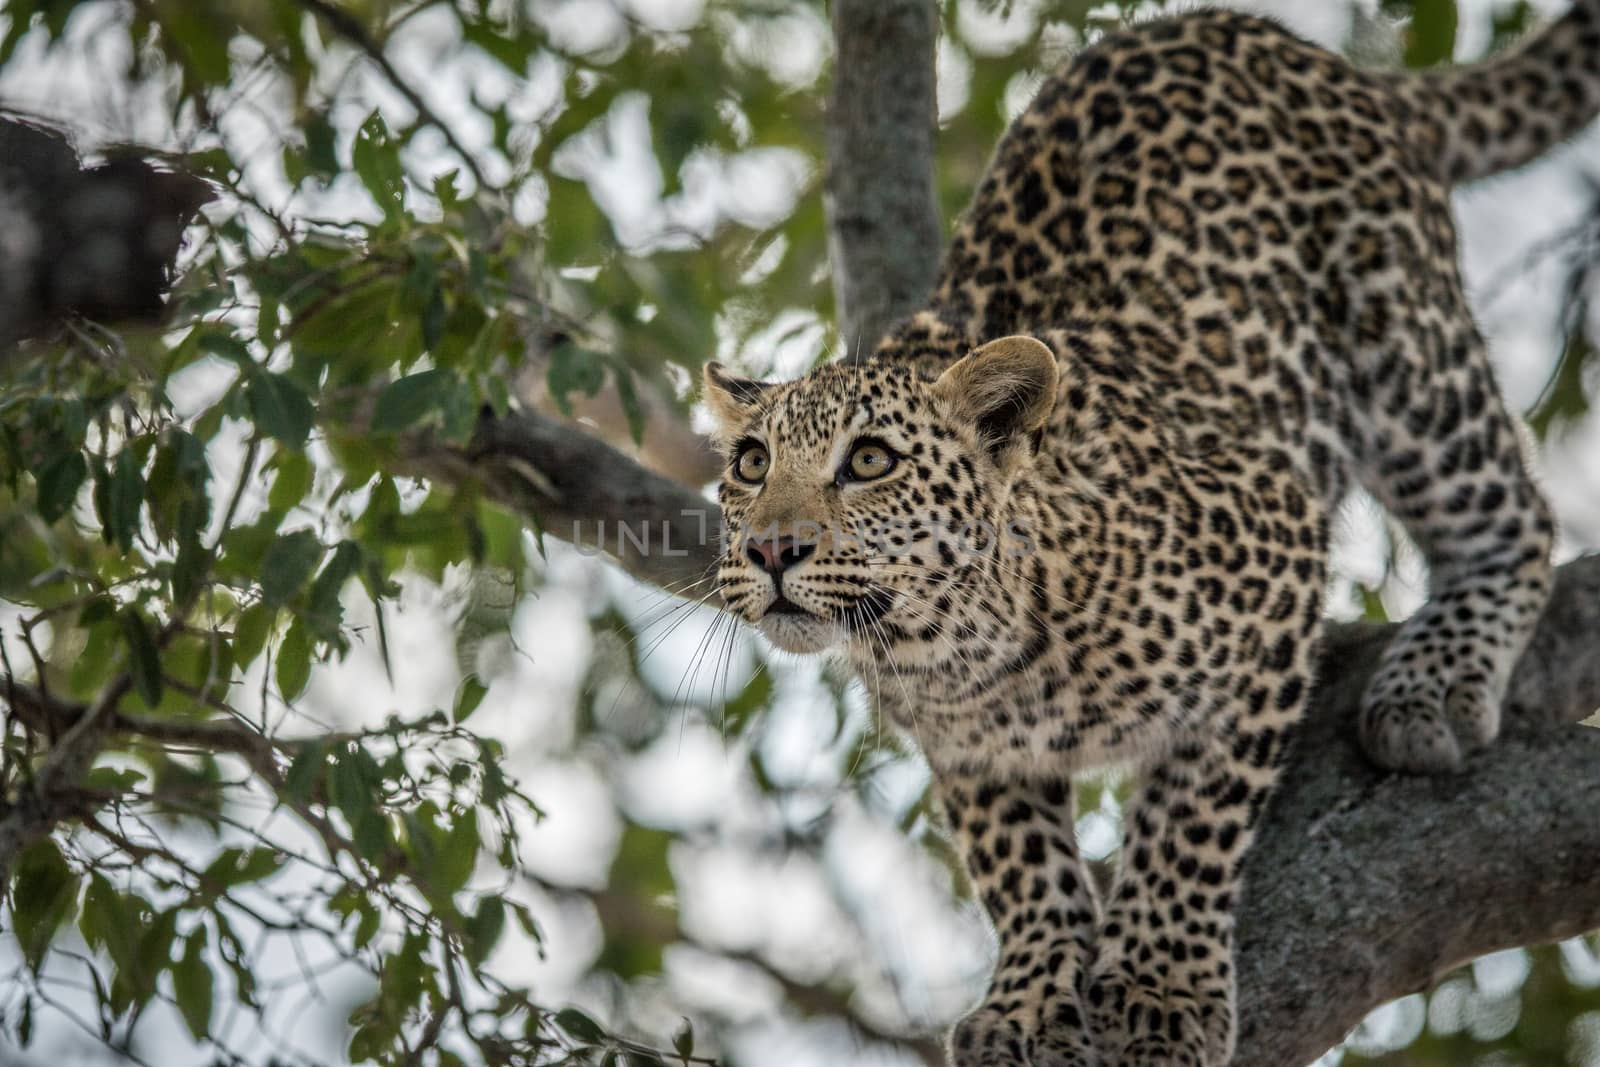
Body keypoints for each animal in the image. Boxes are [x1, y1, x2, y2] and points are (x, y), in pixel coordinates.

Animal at [700, 4, 1600, 1062]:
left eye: (871, 460)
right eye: (751, 464)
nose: (772, 549)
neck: (965, 645)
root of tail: (1308, 55)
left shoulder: (1274, 561)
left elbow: (1192, 819)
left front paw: (1163, 987)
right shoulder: (969, 748)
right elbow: (1019, 864)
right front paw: (1033, 999)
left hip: (1408, 348)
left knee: (1513, 514)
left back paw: (1432, 682)